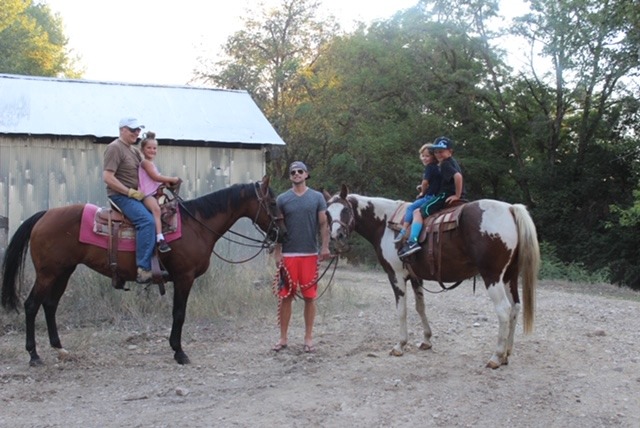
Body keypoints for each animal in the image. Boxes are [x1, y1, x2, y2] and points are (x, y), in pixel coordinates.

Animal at [1, 176, 288, 366]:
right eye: (273, 202)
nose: (283, 234)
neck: (197, 224)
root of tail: (44, 215)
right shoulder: (183, 278)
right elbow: (179, 314)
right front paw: (179, 352)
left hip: (63, 272)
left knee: (50, 305)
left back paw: (59, 349)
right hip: (48, 273)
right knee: (31, 306)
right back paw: (34, 355)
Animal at [324, 186, 540, 370]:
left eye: (345, 210)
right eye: (327, 213)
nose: (337, 236)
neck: (385, 223)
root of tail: (510, 208)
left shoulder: (396, 275)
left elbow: (401, 310)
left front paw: (400, 345)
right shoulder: (415, 277)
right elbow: (420, 307)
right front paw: (427, 340)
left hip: (492, 276)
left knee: (503, 310)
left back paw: (496, 357)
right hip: (510, 276)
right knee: (515, 308)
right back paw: (506, 354)